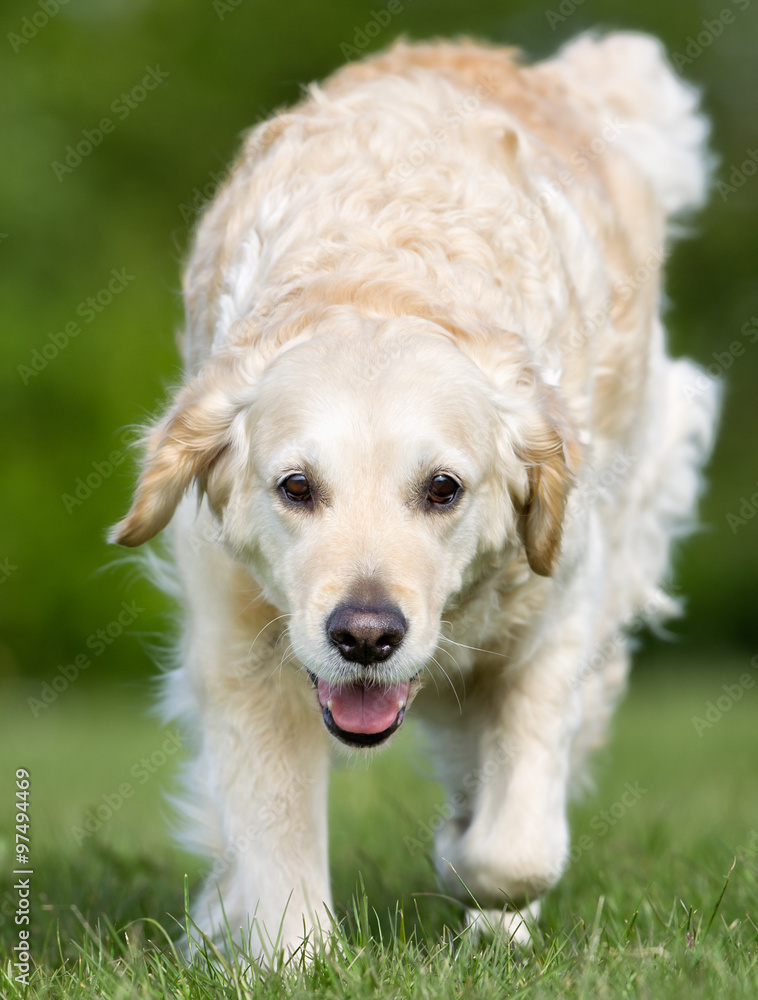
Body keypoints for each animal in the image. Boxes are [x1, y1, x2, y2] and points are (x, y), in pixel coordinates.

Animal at [111, 29, 720, 952]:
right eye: (296, 486)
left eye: (443, 488)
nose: (365, 636)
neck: (379, 279)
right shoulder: (237, 633)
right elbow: (273, 824)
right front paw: (289, 957)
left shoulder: (557, 606)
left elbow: (515, 845)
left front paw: (471, 868)